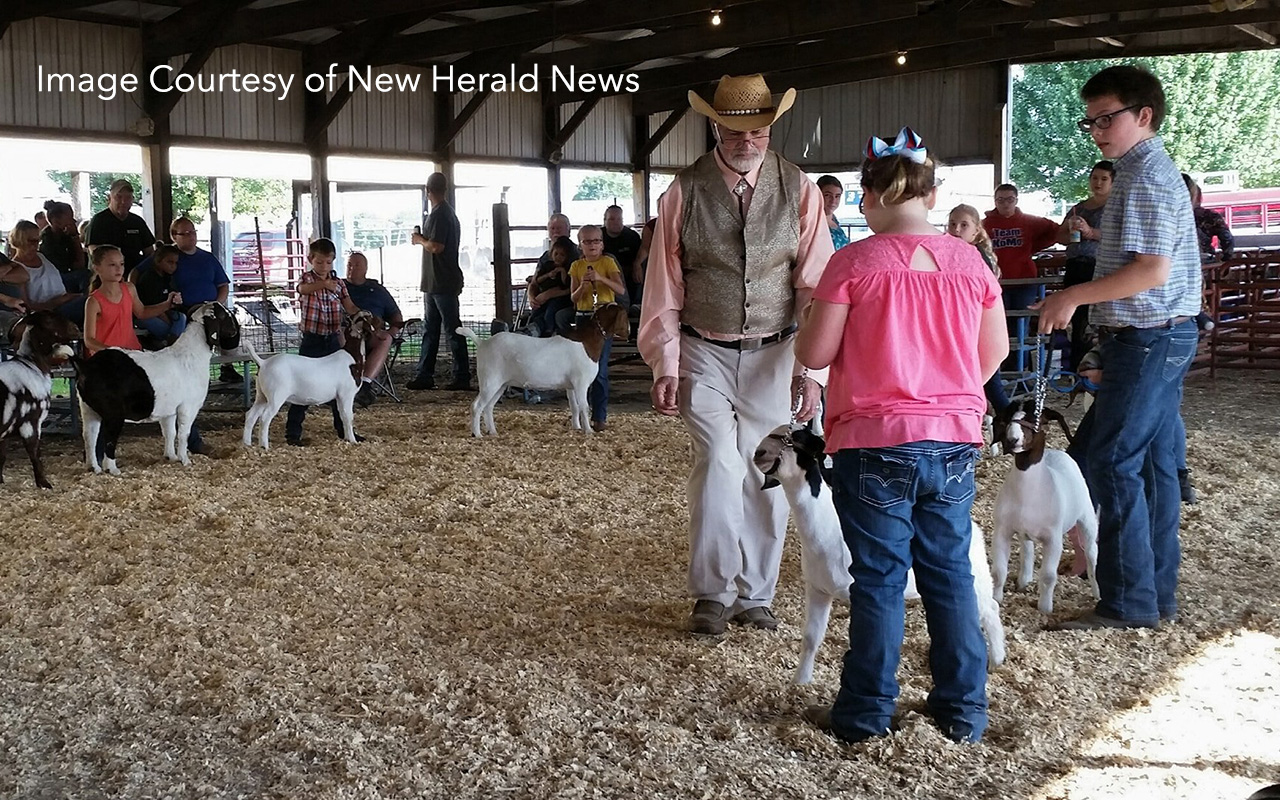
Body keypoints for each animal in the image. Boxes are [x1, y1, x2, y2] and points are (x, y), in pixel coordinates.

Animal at [75, 302, 241, 471]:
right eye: (224, 315)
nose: (235, 329)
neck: (190, 355)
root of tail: (86, 367)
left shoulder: (169, 410)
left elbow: (170, 433)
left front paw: (171, 457)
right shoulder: (188, 407)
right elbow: (184, 434)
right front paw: (185, 460)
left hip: (88, 410)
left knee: (89, 437)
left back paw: (94, 468)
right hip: (113, 414)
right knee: (108, 438)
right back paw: (112, 469)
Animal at [460, 302, 629, 437]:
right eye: (625, 315)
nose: (629, 332)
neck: (587, 342)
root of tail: (482, 343)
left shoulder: (571, 386)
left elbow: (574, 406)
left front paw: (576, 428)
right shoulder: (581, 383)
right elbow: (584, 406)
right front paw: (588, 431)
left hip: (500, 384)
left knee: (488, 406)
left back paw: (493, 432)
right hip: (490, 381)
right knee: (477, 406)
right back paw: (477, 434)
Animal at [747, 427, 1008, 680]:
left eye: (794, 440)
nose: (758, 453)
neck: (827, 529)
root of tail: (974, 528)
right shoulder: (818, 589)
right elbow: (811, 638)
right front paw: (800, 681)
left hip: (977, 578)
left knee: (990, 610)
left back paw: (996, 660)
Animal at [988, 396, 1100, 611]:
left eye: (1035, 418)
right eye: (1007, 419)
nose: (1012, 440)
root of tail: (1057, 452)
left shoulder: (1053, 538)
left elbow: (1048, 576)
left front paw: (1045, 609)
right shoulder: (1002, 530)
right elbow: (998, 571)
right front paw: (996, 600)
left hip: (1087, 517)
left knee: (1091, 553)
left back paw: (1097, 592)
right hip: (1024, 531)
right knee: (1027, 550)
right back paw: (1024, 580)